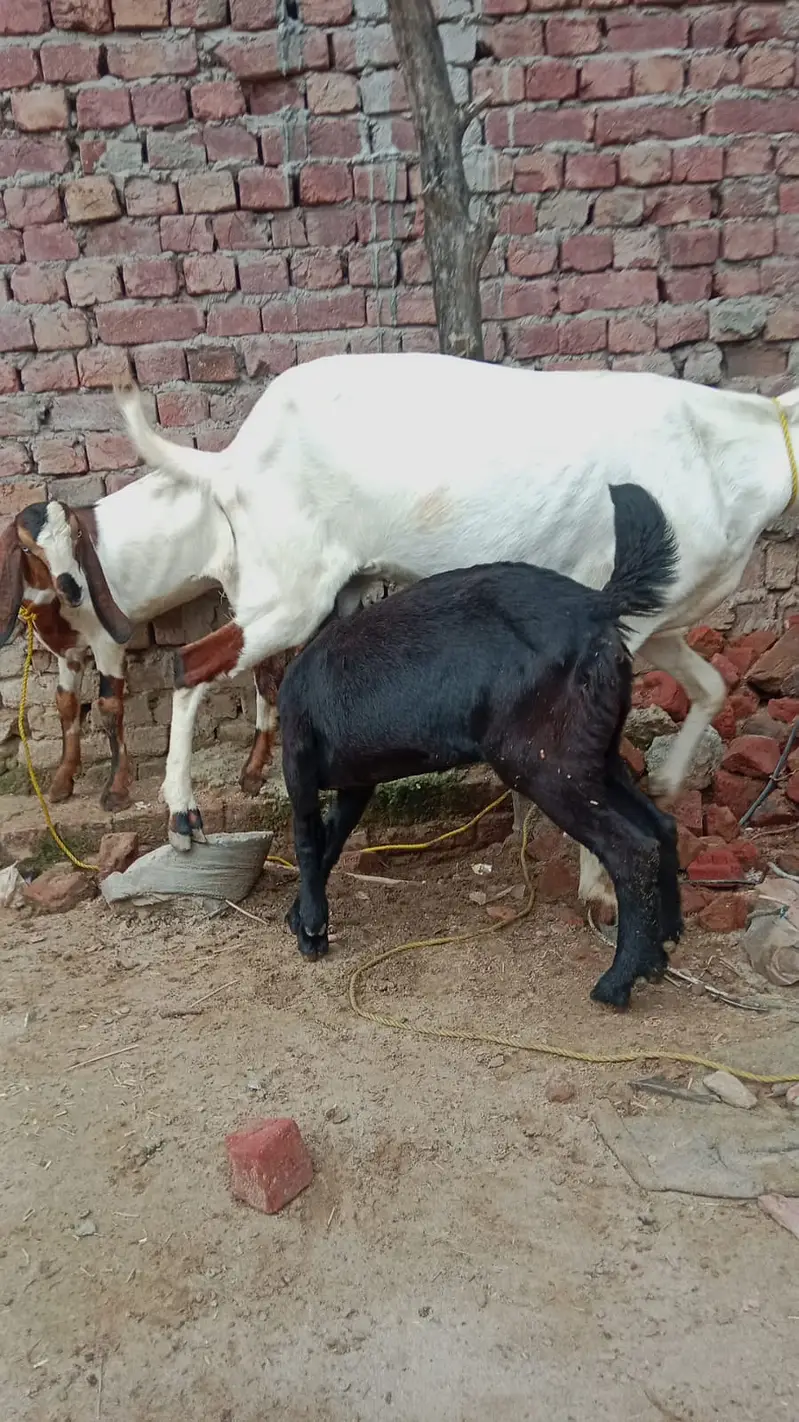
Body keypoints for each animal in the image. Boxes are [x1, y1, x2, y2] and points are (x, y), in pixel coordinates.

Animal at [105, 354, 796, 907]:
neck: (720, 453)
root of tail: (234, 458)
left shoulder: (655, 624)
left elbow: (711, 686)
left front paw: (669, 782)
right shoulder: (617, 617)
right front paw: (598, 886)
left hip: (331, 595)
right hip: (290, 592)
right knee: (191, 663)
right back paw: (182, 813)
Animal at [278, 484, 680, 1010]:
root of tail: (595, 604)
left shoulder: (299, 765)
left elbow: (308, 841)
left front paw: (311, 929)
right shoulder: (356, 785)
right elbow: (332, 839)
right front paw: (301, 914)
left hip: (543, 765)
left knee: (633, 850)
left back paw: (616, 982)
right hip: (591, 754)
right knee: (661, 827)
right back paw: (659, 951)